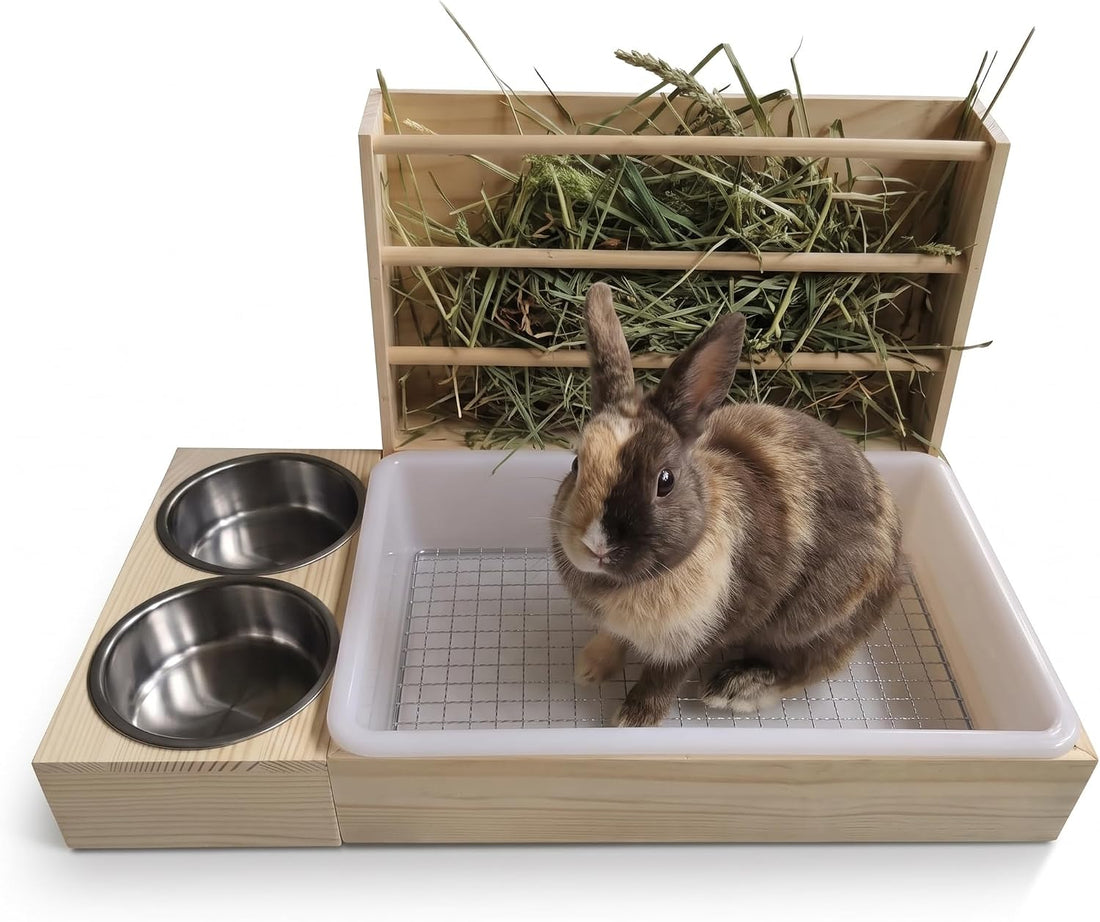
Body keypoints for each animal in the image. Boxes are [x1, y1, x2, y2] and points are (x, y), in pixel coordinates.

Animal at [550, 282, 903, 727]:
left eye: (665, 481)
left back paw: (733, 691)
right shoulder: (618, 627)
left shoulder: (701, 637)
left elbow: (662, 679)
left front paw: (632, 718)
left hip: (817, 622)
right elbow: (612, 639)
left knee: (809, 666)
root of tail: (899, 564)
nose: (595, 546)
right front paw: (588, 669)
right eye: (576, 464)